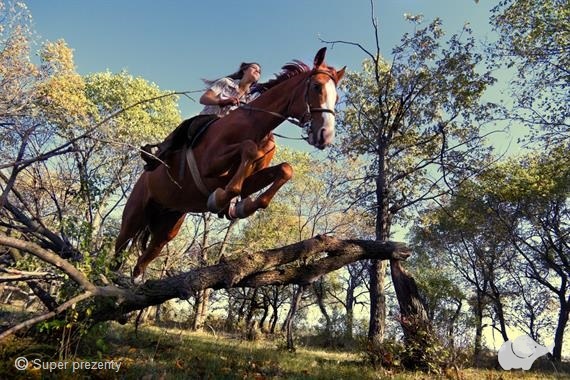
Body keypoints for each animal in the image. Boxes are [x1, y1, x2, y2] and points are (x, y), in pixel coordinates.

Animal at [113, 47, 344, 284]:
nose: (325, 135)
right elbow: (247, 150)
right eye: (316, 87)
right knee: (118, 249)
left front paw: (242, 206)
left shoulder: (250, 178)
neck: (255, 125)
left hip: (168, 223)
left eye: (337, 97)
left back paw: (135, 282)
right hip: (134, 215)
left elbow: (284, 170)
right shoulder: (209, 165)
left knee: (146, 258)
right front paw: (221, 200)